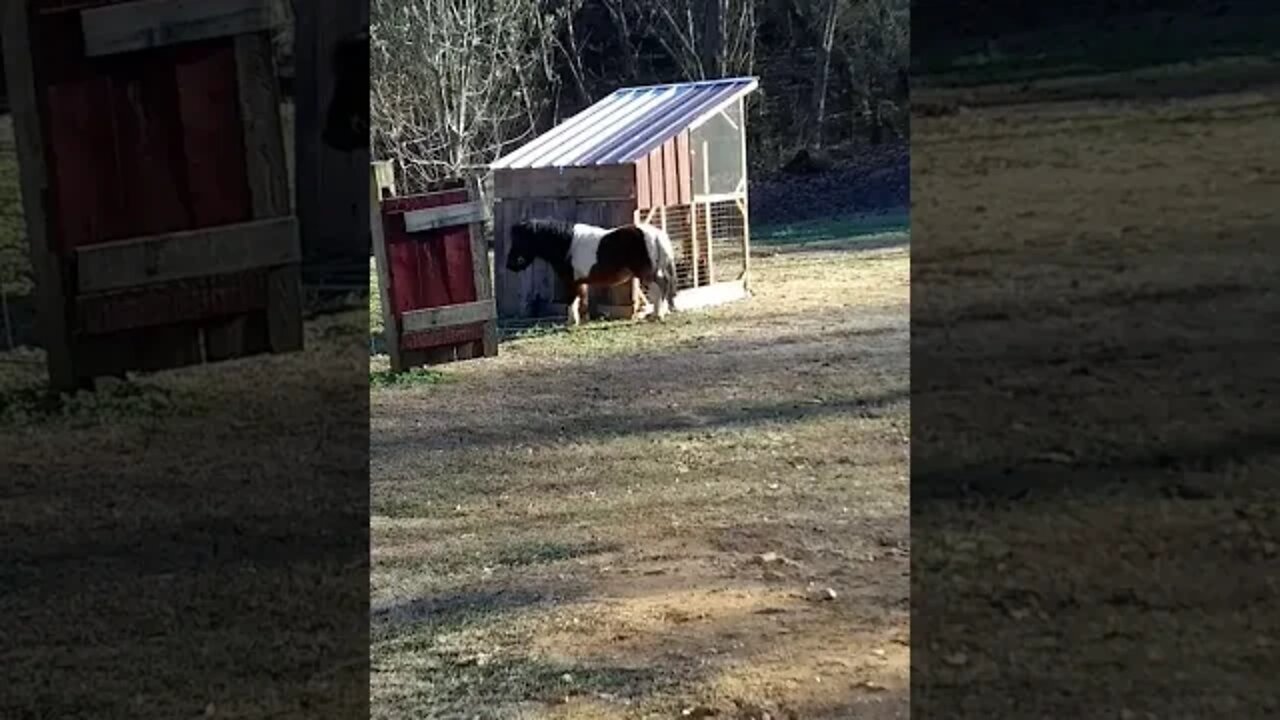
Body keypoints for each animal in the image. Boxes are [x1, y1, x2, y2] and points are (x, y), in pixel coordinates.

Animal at [504, 219, 680, 325]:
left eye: (521, 240)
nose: (510, 265)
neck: (566, 245)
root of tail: (656, 234)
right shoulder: (580, 282)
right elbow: (581, 299)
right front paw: (582, 319)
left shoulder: (570, 281)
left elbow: (571, 300)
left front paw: (571, 322)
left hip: (647, 273)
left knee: (660, 287)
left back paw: (658, 314)